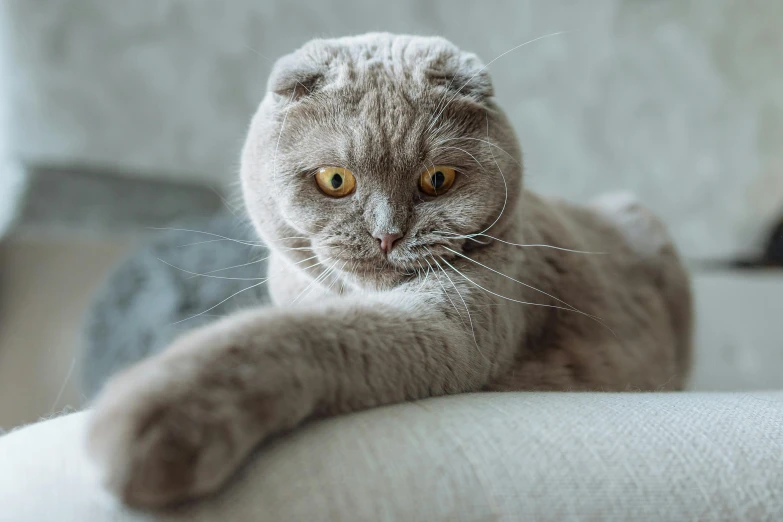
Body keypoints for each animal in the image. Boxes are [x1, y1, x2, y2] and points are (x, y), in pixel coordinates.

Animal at [84, 32, 692, 504]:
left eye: (438, 179)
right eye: (335, 180)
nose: (386, 235)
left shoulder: (454, 322)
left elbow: (305, 336)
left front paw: (147, 421)